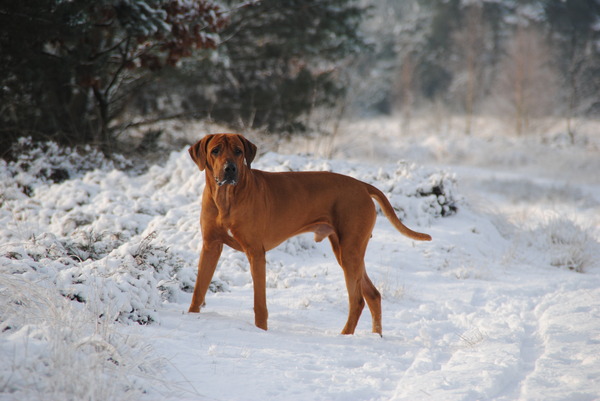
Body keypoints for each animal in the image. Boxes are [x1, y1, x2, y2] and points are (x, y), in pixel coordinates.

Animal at [189, 134, 432, 334]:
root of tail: (362, 185)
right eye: (215, 150)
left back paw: (345, 336)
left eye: (238, 151)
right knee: (372, 295)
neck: (226, 198)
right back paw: (376, 337)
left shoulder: (255, 253)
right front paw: (191, 317)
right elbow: (199, 289)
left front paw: (261, 331)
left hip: (350, 251)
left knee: (357, 300)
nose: (230, 169)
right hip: (346, 251)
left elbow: (260, 303)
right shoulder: (210, 246)